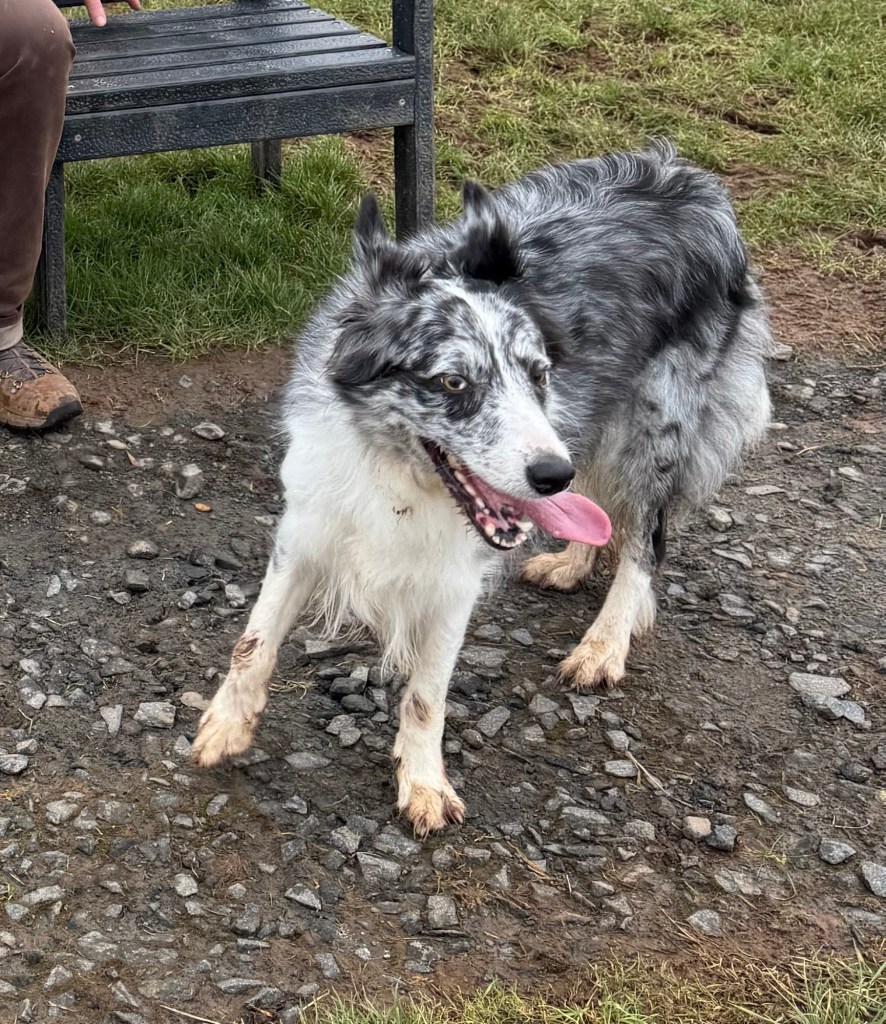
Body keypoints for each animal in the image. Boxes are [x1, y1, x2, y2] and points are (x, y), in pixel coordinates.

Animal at [192, 141, 771, 835]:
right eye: (452, 383)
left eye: (539, 372)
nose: (551, 475)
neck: (399, 475)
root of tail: (691, 176)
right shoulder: (311, 523)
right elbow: (253, 639)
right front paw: (226, 726)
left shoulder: (453, 577)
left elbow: (427, 693)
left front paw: (423, 783)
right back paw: (571, 563)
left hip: (654, 426)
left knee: (643, 541)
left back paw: (604, 645)